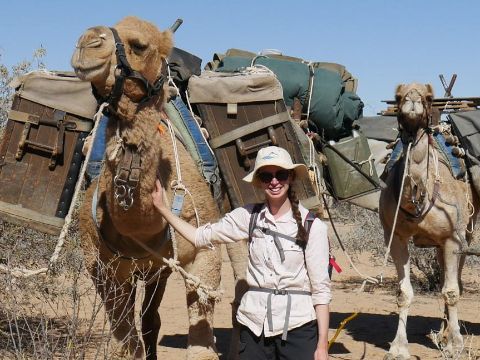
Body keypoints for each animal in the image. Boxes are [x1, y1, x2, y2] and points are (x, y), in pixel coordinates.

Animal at [71, 16, 223, 360]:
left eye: (139, 45)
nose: (87, 42)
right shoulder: (101, 268)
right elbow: (127, 345)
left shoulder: (205, 253)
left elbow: (201, 344)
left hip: (157, 269)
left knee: (151, 317)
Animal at [380, 83, 478, 358]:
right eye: (398, 96)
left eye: (429, 96)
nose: (412, 99)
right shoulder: (396, 237)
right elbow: (403, 293)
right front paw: (398, 347)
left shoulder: (452, 238)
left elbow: (452, 291)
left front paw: (456, 345)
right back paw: (442, 335)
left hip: (464, 232)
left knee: (455, 282)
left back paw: (448, 337)